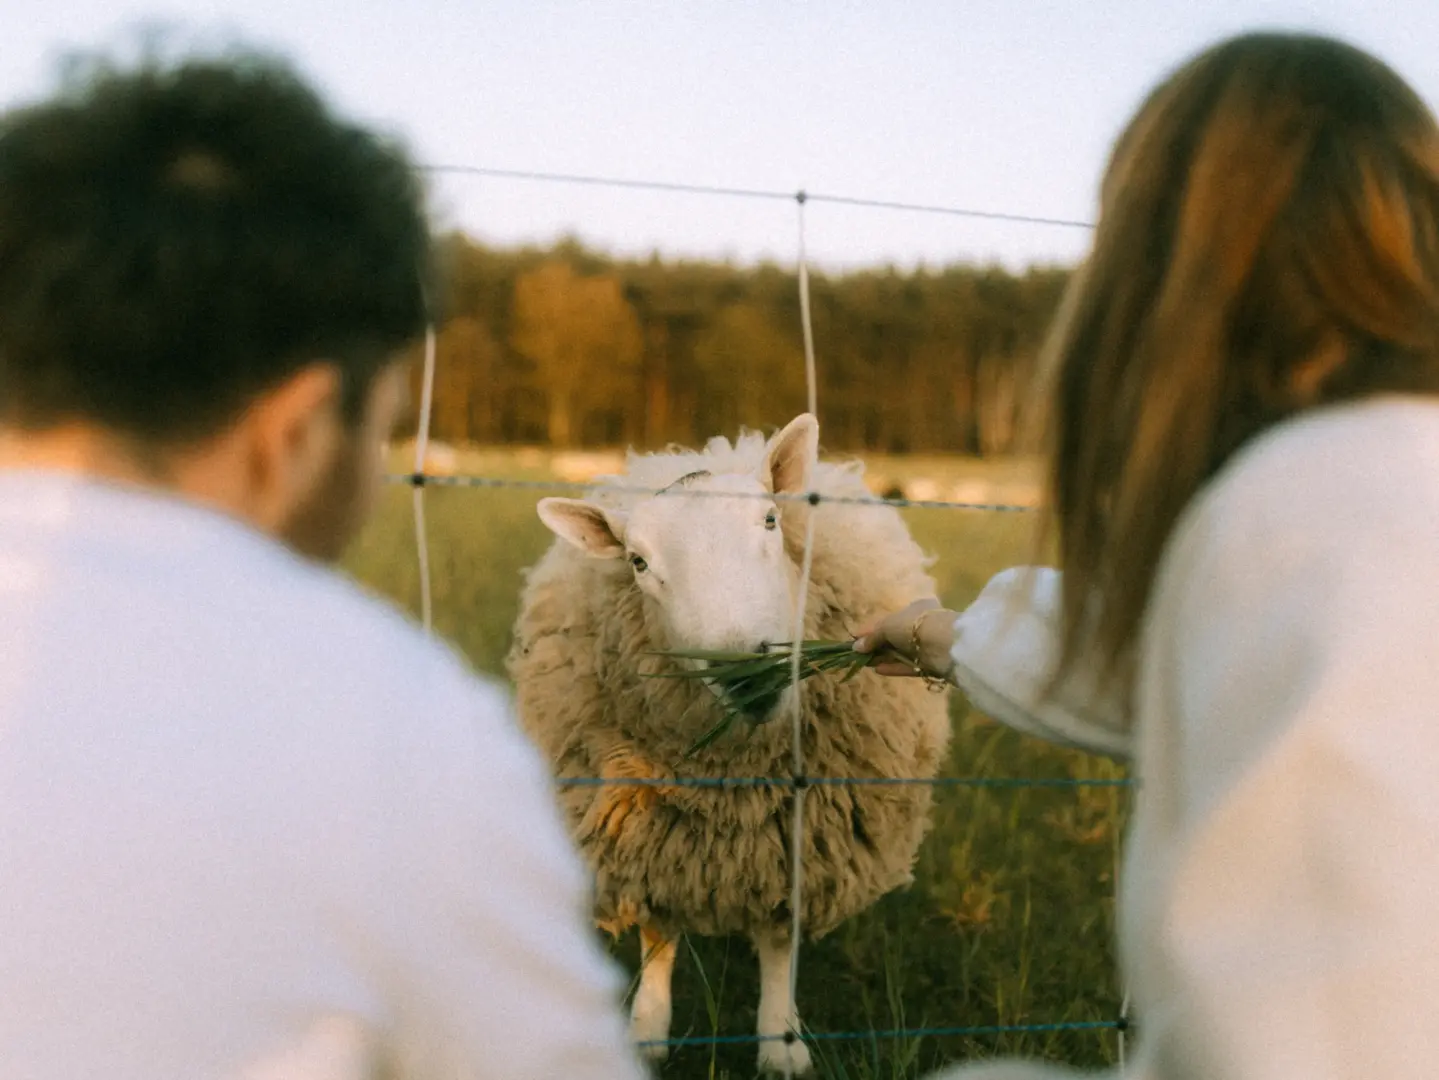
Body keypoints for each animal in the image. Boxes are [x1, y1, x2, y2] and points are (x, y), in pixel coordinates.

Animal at [506, 413, 952, 1076]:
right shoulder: (647, 833)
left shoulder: (802, 838)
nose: (747, 674)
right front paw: (648, 1029)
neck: (735, 781)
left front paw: (780, 1043)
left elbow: (778, 941)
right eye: (637, 562)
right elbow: (657, 934)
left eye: (769, 520)